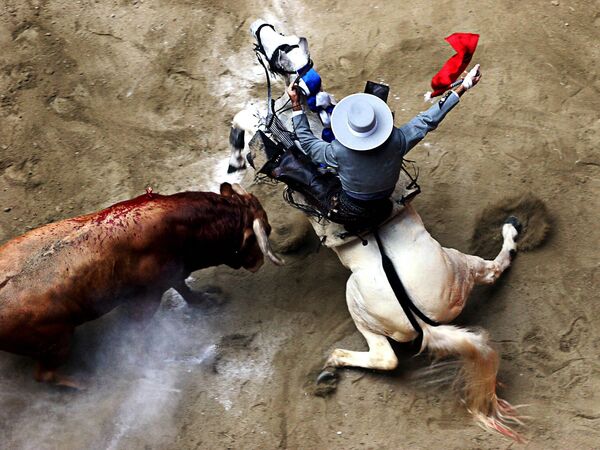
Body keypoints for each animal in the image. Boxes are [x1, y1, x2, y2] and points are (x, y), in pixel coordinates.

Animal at [0, 183, 282, 386]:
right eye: (267, 228)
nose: (257, 262)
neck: (182, 225)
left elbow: (183, 288)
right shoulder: (151, 292)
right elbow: (165, 304)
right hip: (59, 342)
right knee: (45, 375)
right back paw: (82, 382)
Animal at [227, 20, 524, 440]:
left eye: (280, 45)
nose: (259, 26)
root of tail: (425, 323)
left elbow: (245, 117)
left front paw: (236, 157)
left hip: (358, 302)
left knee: (386, 359)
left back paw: (332, 363)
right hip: (458, 266)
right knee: (490, 271)